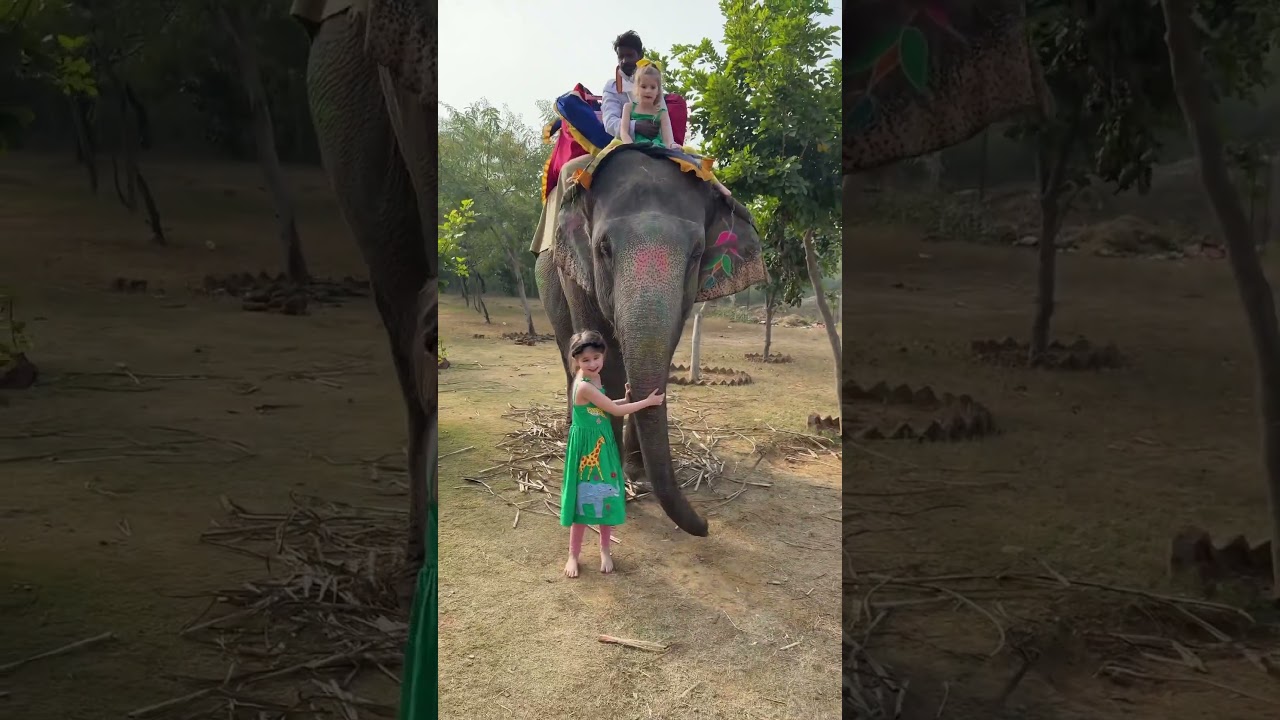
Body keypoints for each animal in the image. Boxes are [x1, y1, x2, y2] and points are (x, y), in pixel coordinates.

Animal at [535, 148, 767, 536]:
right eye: (604, 248)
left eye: (697, 253)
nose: (706, 525)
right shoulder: (577, 272)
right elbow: (603, 356)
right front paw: (614, 477)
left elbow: (664, 347)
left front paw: (636, 473)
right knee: (567, 351)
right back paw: (570, 428)